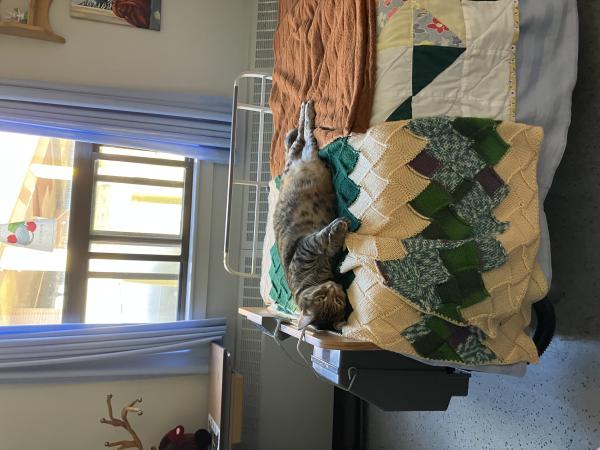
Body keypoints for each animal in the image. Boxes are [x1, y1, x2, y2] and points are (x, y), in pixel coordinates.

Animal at [272, 100, 346, 328]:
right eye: (322, 297)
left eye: (338, 300)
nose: (332, 287)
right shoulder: (309, 245)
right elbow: (325, 237)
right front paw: (339, 227)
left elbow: (328, 239)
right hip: (309, 150)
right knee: (306, 136)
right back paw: (308, 110)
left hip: (298, 154)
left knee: (299, 136)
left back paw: (306, 107)